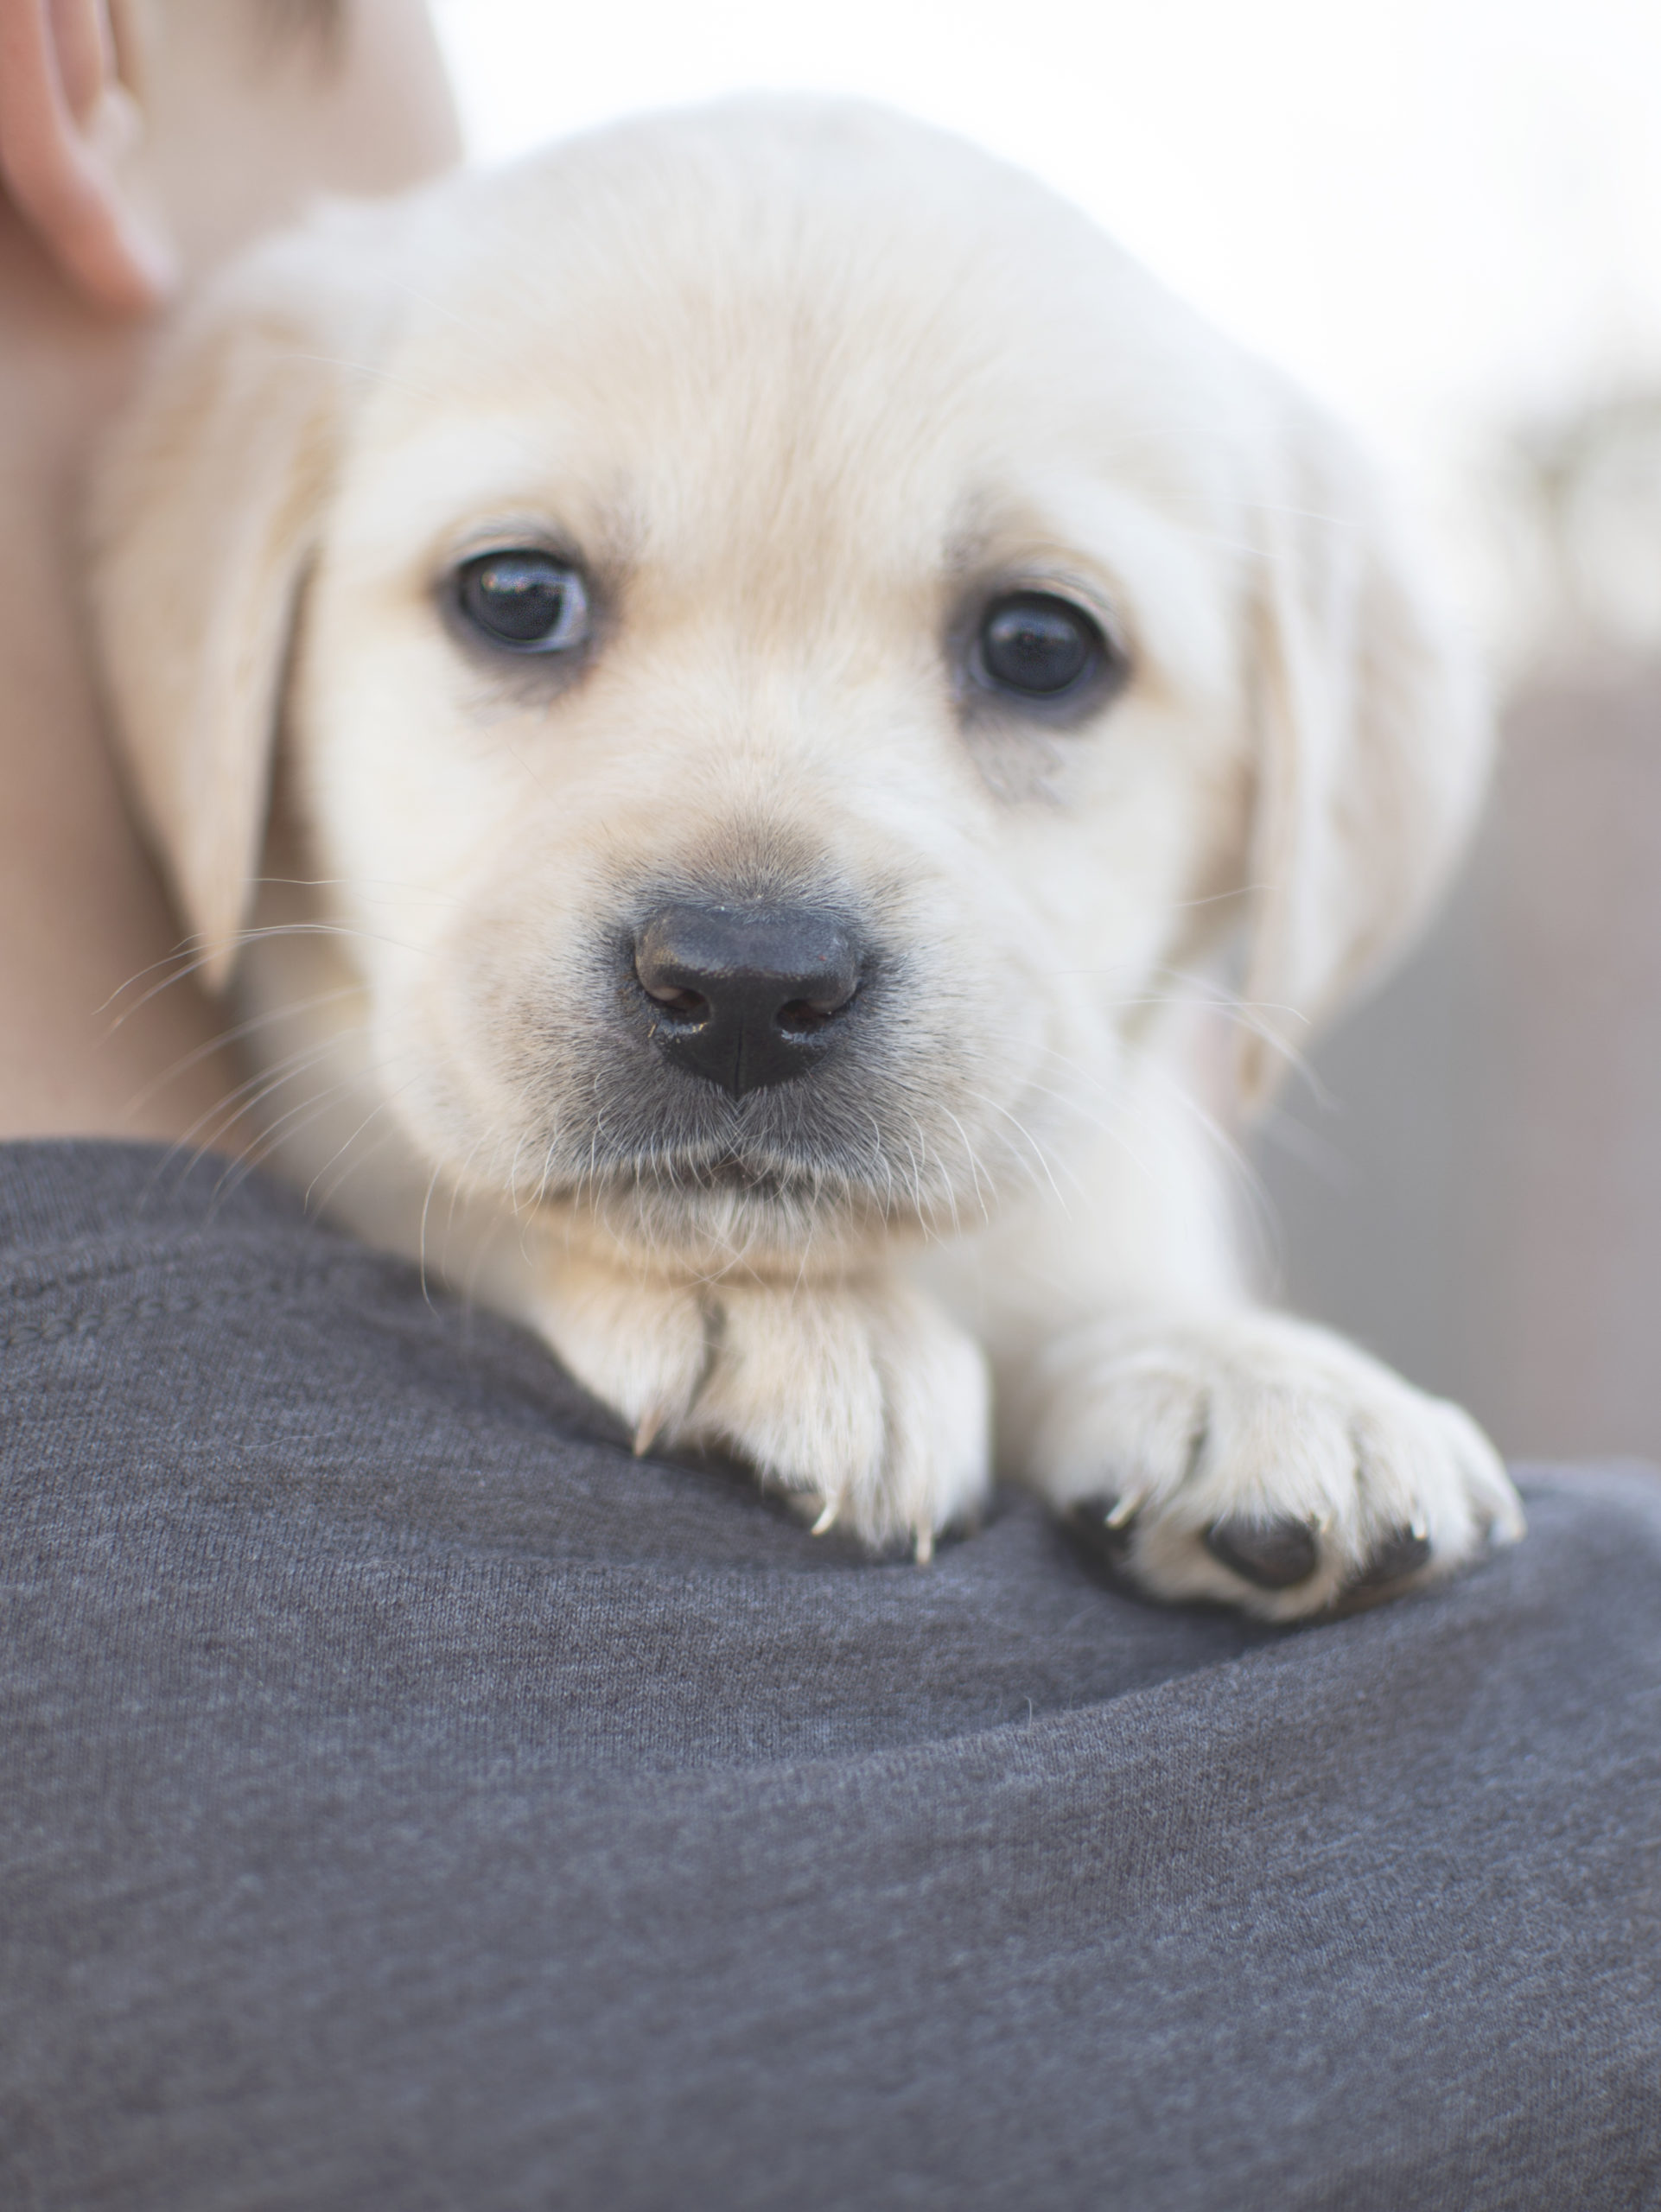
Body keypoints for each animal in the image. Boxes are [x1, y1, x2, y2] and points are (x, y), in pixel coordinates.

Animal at [87, 99, 1521, 1610]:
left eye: (1039, 647)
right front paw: (784, 1328)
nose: (744, 985)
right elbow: (442, 1191)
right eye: (517, 595)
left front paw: (1254, 1373)